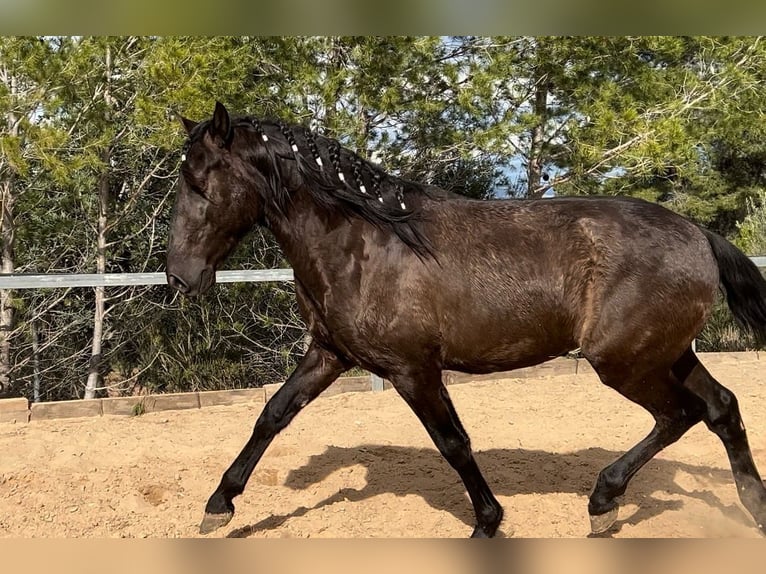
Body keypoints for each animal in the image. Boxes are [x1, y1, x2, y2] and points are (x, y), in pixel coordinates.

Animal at [166, 101, 766, 536]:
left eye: (199, 183)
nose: (179, 277)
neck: (364, 244)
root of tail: (699, 234)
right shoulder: (330, 353)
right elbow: (272, 414)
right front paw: (218, 506)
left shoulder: (413, 369)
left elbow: (453, 443)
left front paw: (487, 523)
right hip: (666, 354)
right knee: (721, 407)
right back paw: (752, 509)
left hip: (624, 362)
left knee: (680, 415)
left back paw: (603, 502)